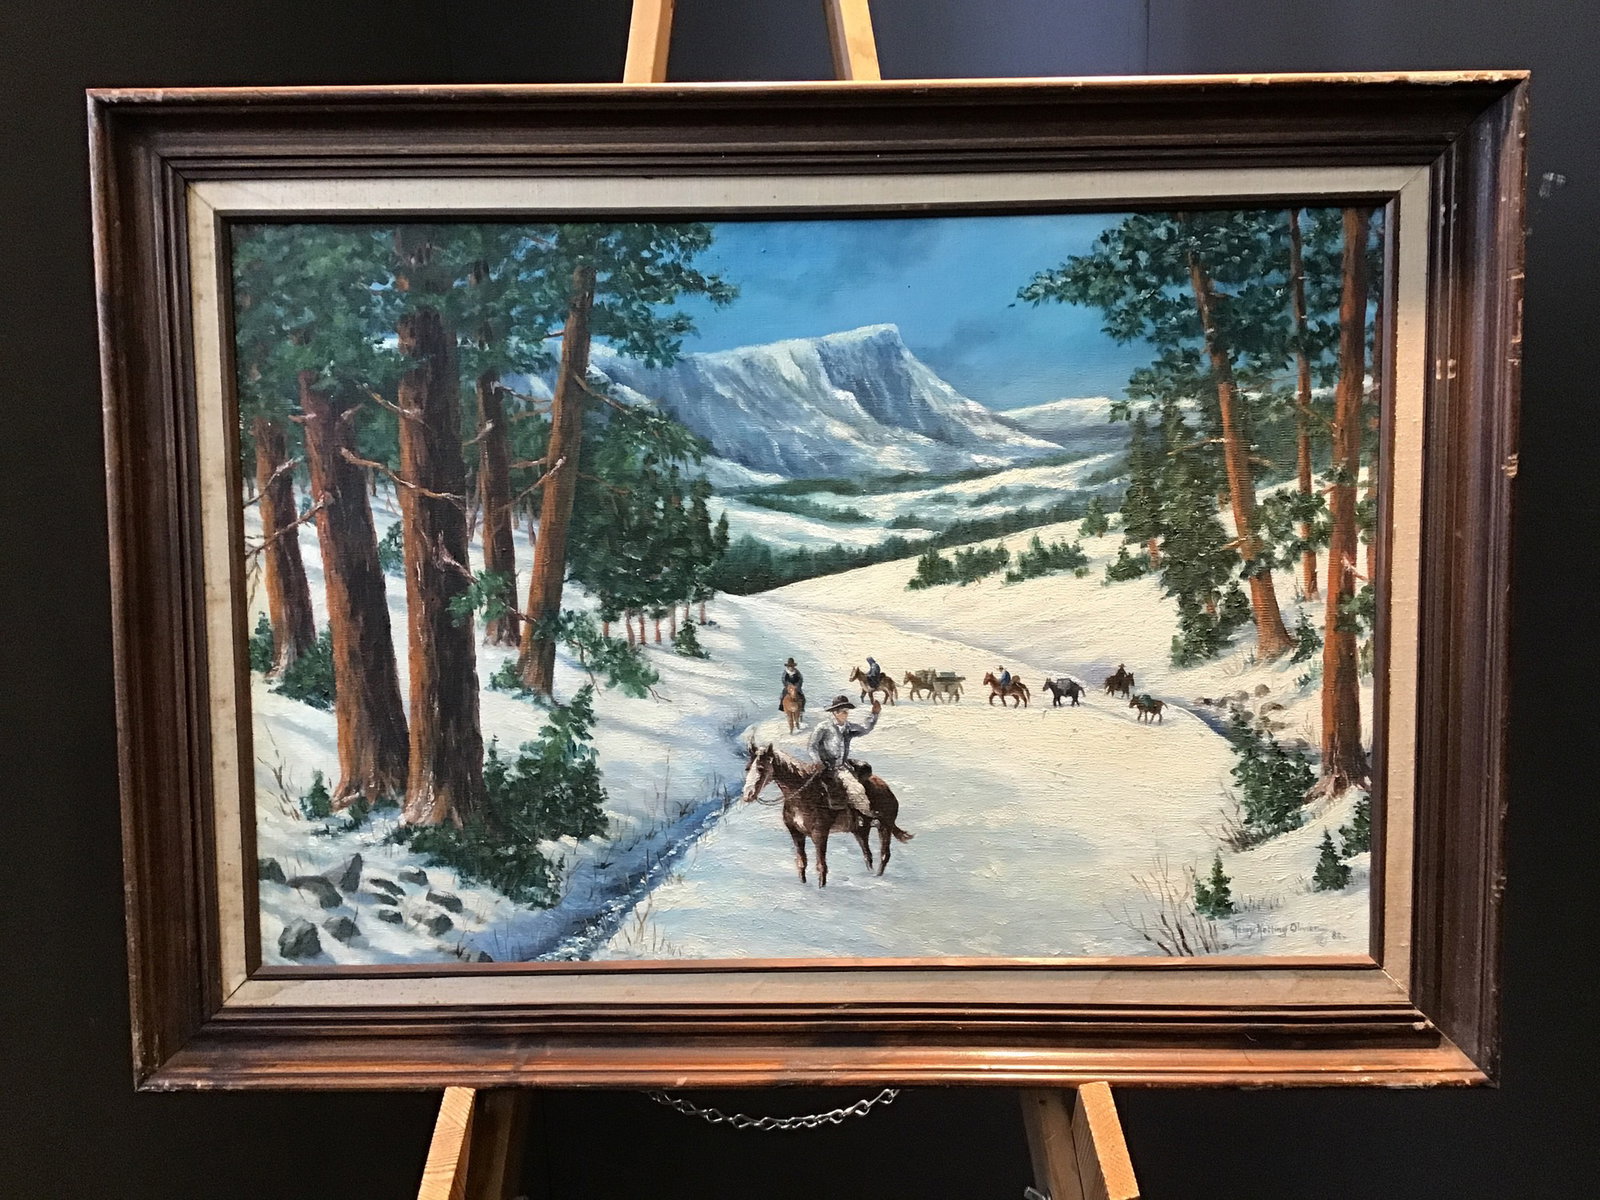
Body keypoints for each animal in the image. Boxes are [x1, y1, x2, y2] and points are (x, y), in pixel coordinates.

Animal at [740, 743, 913, 888]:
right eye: (747, 768)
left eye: (761, 768)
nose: (748, 795)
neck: (803, 796)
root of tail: (886, 788)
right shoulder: (796, 833)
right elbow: (801, 862)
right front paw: (803, 884)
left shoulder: (820, 834)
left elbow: (821, 865)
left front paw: (821, 888)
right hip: (861, 830)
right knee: (867, 854)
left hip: (884, 827)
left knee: (884, 854)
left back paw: (878, 876)